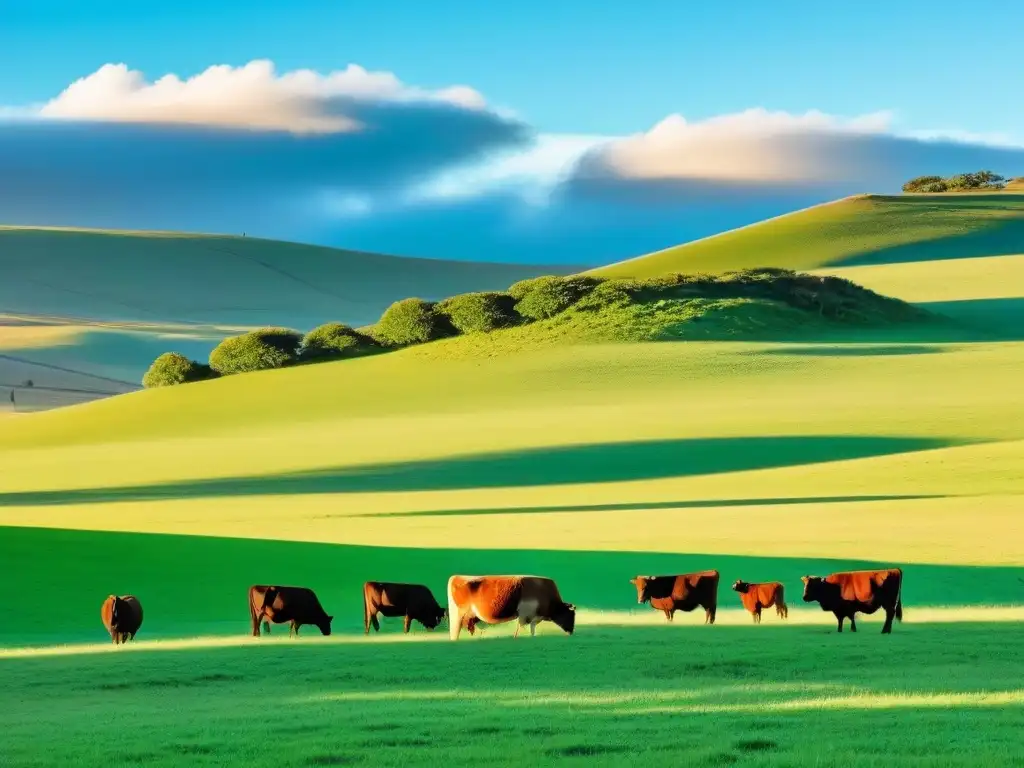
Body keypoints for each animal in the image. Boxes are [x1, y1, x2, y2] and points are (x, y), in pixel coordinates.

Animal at [448, 573, 577, 638]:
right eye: (571, 616)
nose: (571, 631)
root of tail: (456, 577)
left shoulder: (534, 618)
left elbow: (532, 630)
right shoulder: (524, 616)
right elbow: (521, 629)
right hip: (457, 617)